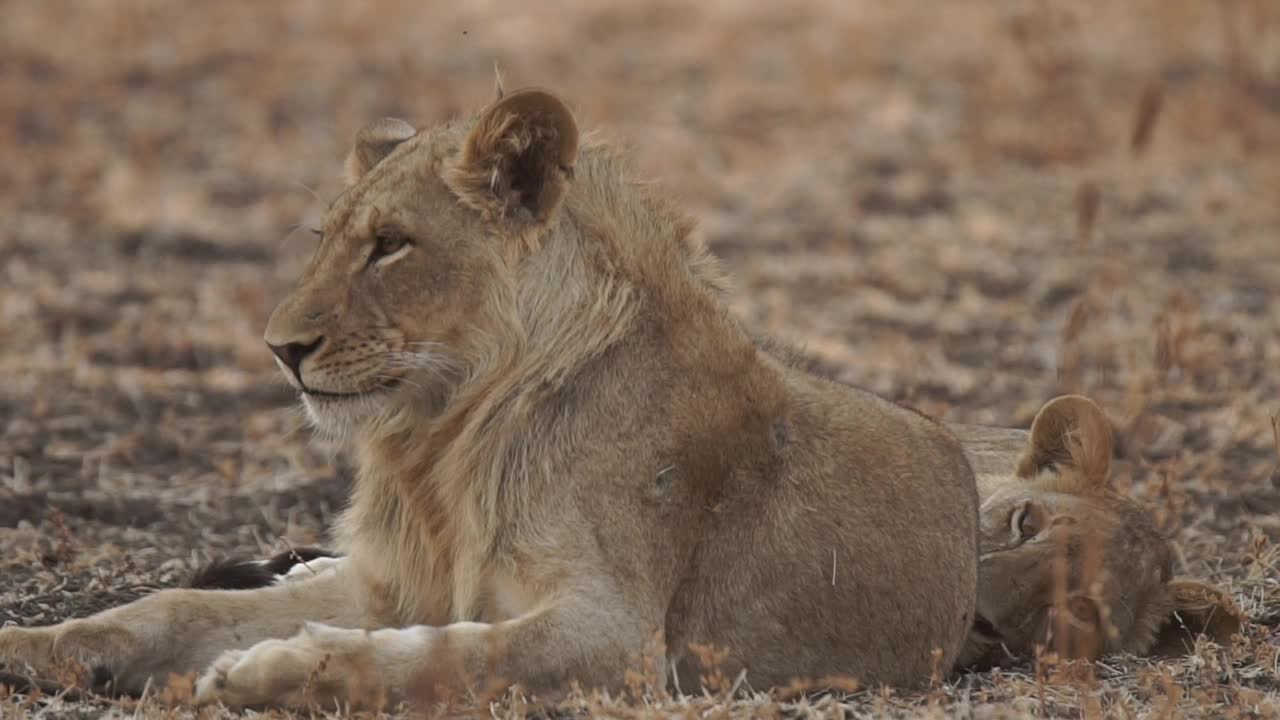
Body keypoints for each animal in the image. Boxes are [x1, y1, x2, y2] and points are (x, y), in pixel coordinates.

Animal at [0, 85, 977, 707]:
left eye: (391, 244)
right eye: (327, 239)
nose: (281, 350)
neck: (445, 440)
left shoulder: (619, 639)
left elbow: (444, 657)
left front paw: (264, 672)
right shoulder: (395, 582)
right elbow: (176, 607)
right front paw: (29, 648)